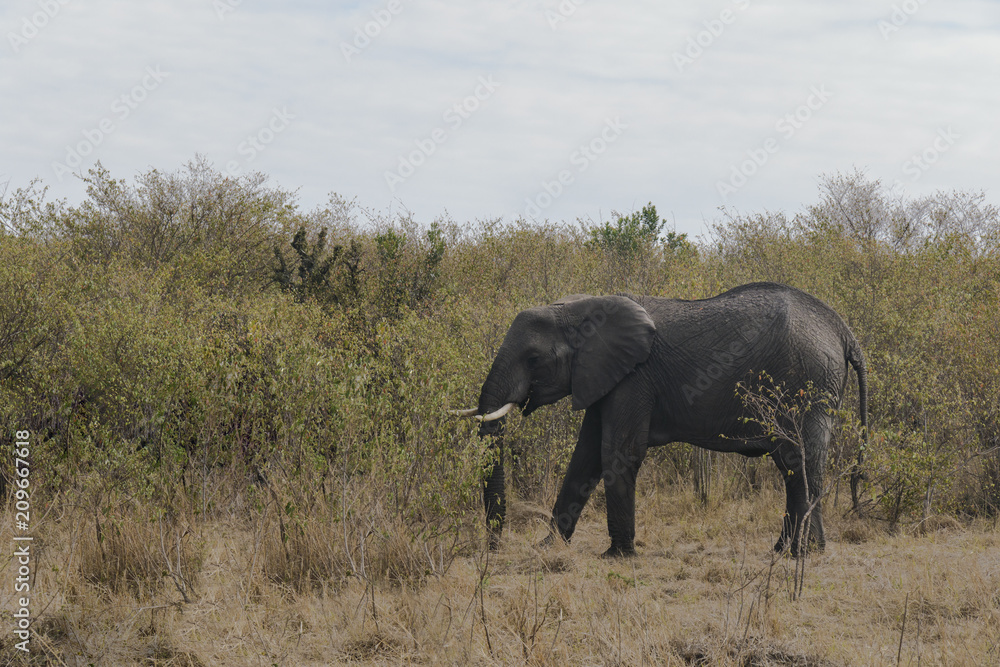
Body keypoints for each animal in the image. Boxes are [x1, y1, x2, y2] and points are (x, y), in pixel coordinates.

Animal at [452, 282, 868, 557]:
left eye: (534, 359)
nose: (495, 547)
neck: (582, 307)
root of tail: (844, 331)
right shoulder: (603, 375)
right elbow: (584, 458)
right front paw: (548, 547)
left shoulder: (635, 377)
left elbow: (617, 453)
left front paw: (618, 555)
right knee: (797, 466)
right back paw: (797, 551)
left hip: (809, 383)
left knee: (798, 461)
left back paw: (797, 554)